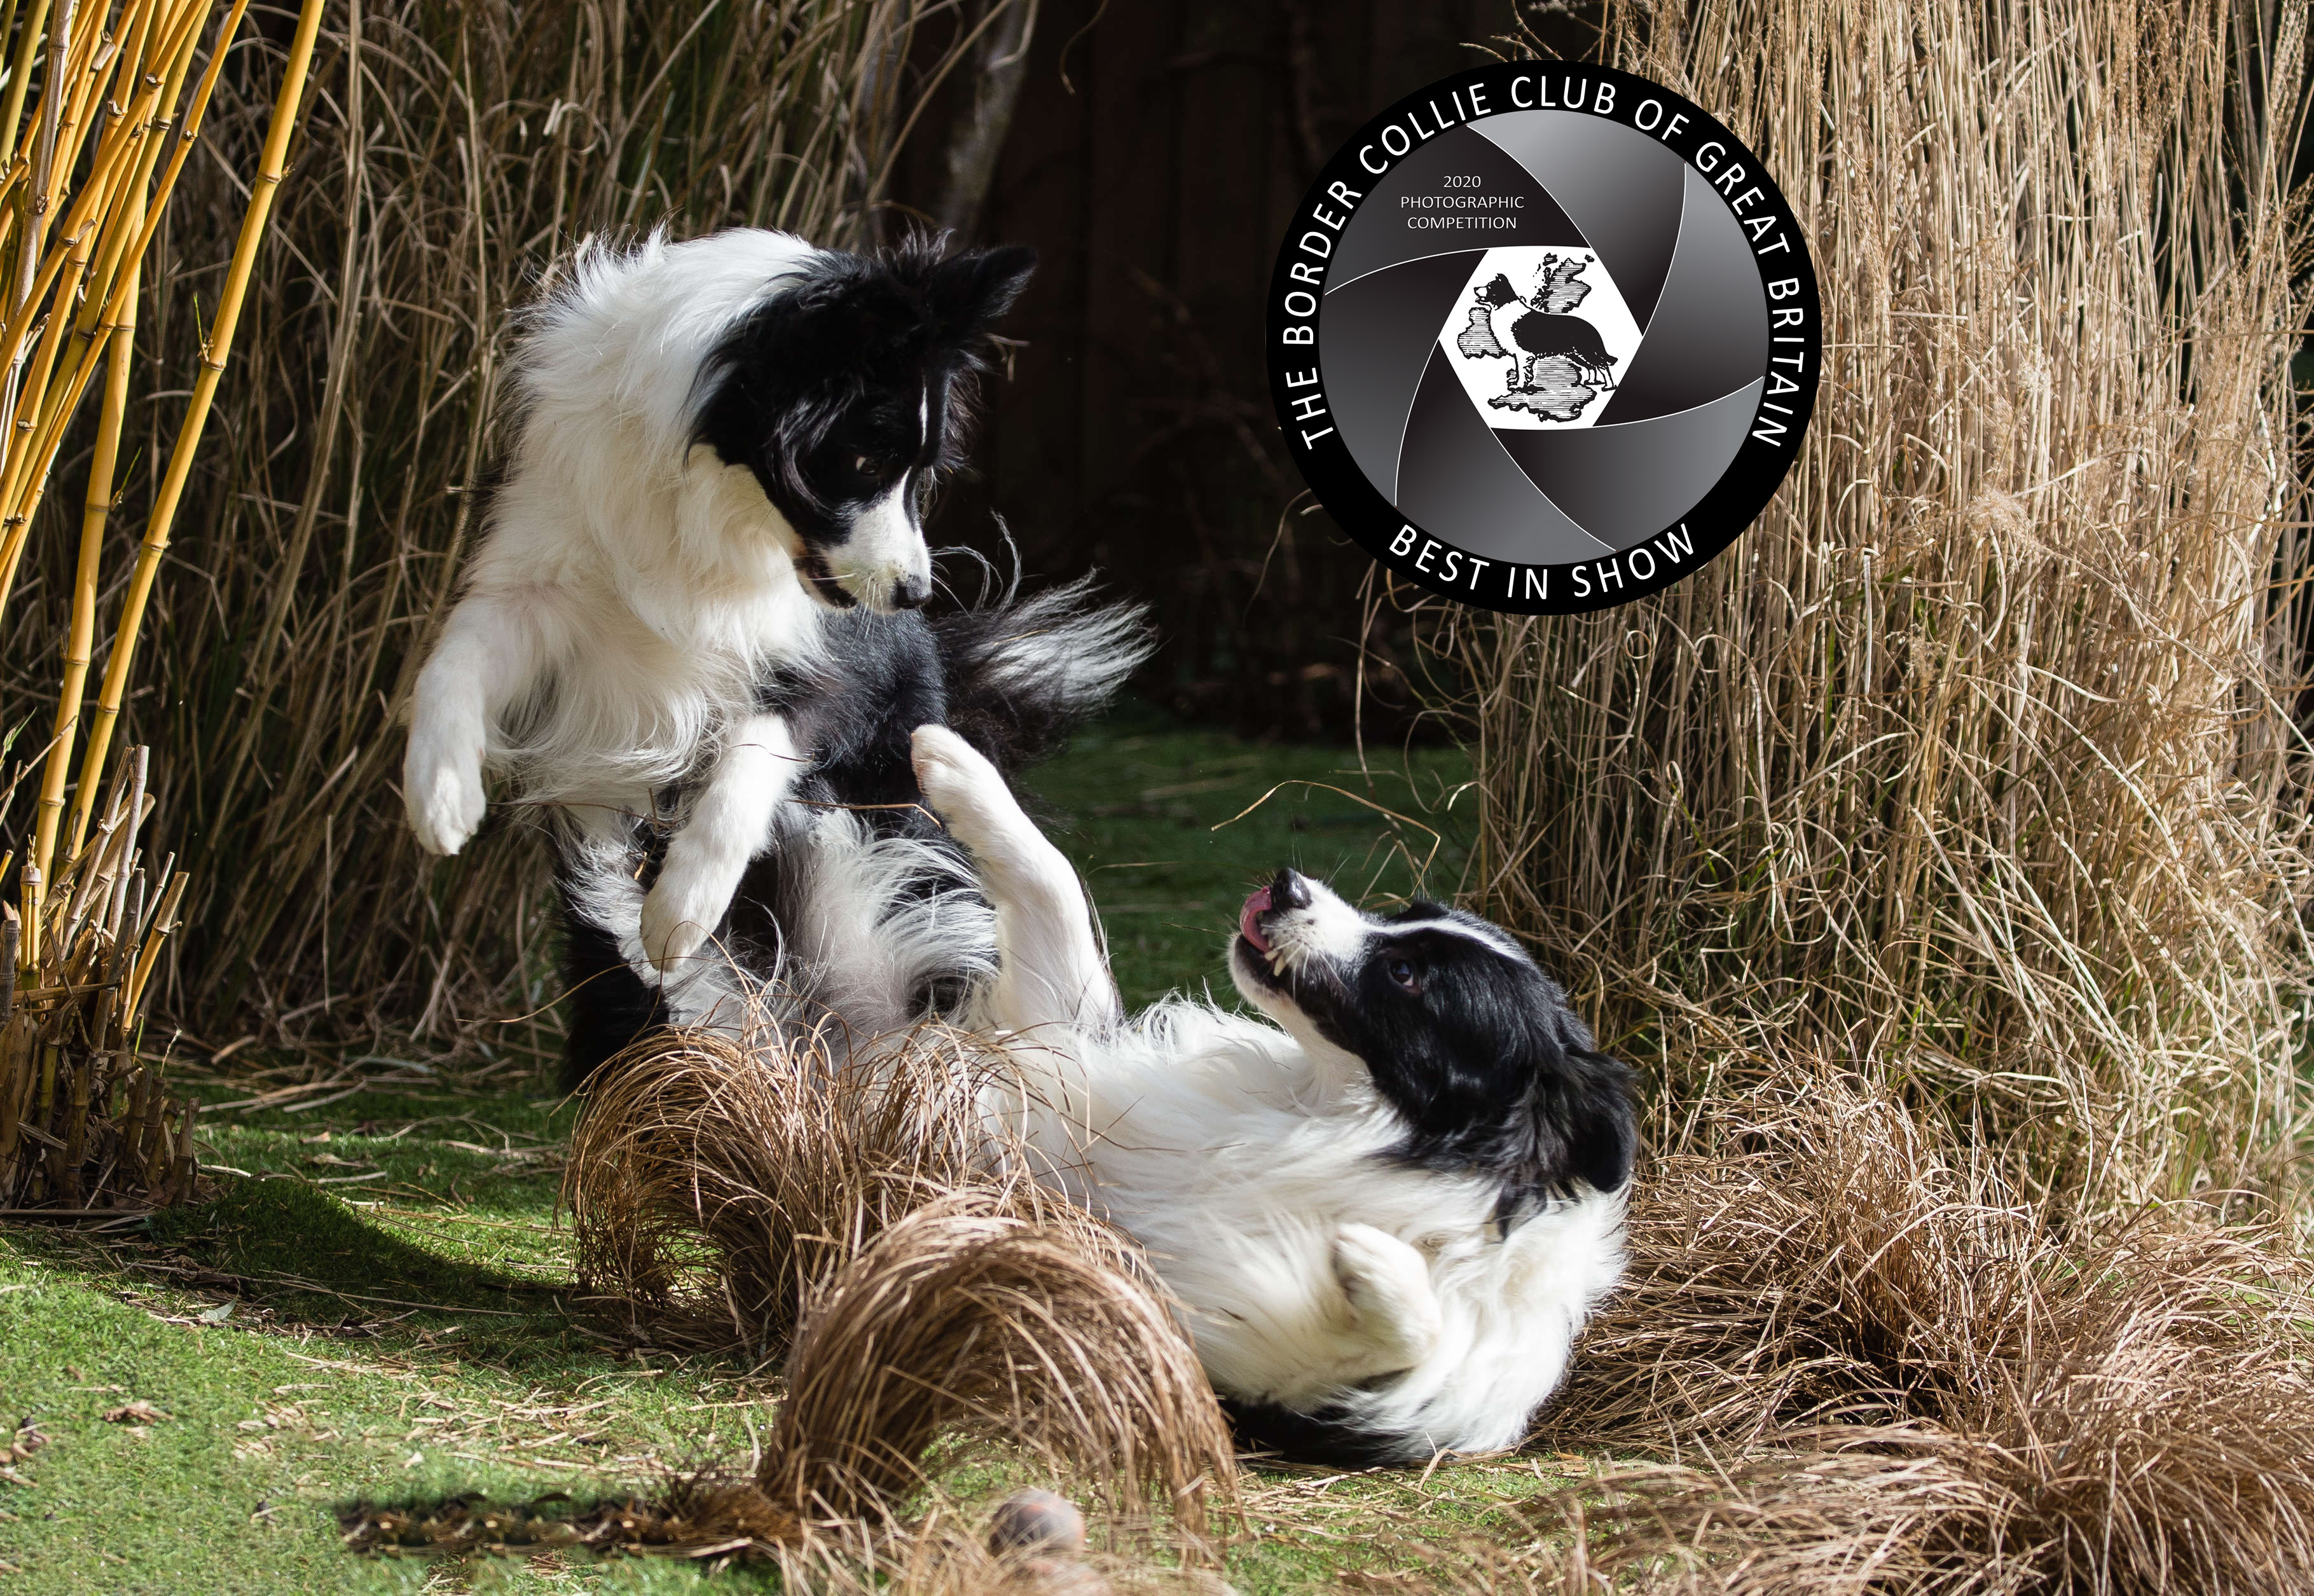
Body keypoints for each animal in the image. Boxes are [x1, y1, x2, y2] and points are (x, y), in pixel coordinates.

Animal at [407, 230, 1157, 1073]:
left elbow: (756, 741)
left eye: (919, 472)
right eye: (865, 463)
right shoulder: (534, 579)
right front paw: (440, 793)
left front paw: (685, 899)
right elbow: (452, 661)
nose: (914, 594)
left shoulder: (845, 660)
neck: (708, 504)